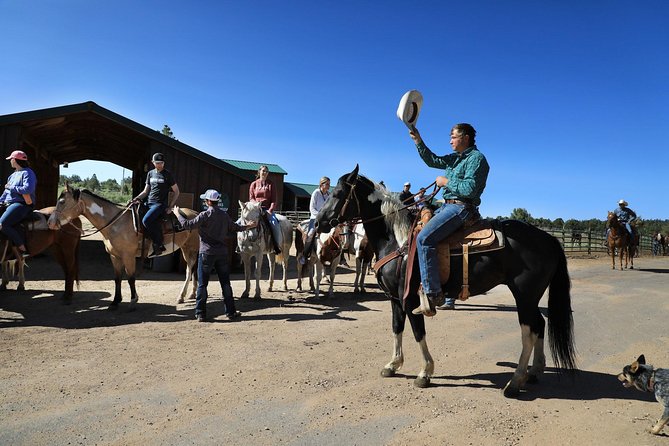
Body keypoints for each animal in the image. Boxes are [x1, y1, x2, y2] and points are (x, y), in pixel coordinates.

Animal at [48, 183, 200, 308]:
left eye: (62, 201)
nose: (50, 222)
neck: (116, 223)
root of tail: (196, 213)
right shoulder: (114, 256)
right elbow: (117, 278)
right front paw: (115, 301)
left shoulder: (128, 256)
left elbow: (131, 278)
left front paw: (133, 300)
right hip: (186, 248)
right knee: (191, 270)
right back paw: (190, 294)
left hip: (192, 249)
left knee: (189, 271)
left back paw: (182, 296)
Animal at [314, 167, 576, 398]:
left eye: (337, 194)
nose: (317, 223)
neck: (397, 240)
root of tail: (549, 239)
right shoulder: (395, 299)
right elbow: (397, 328)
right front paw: (393, 364)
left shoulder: (410, 299)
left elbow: (418, 332)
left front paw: (425, 372)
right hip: (531, 297)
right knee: (539, 324)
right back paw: (534, 372)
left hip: (524, 295)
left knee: (528, 331)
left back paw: (514, 383)